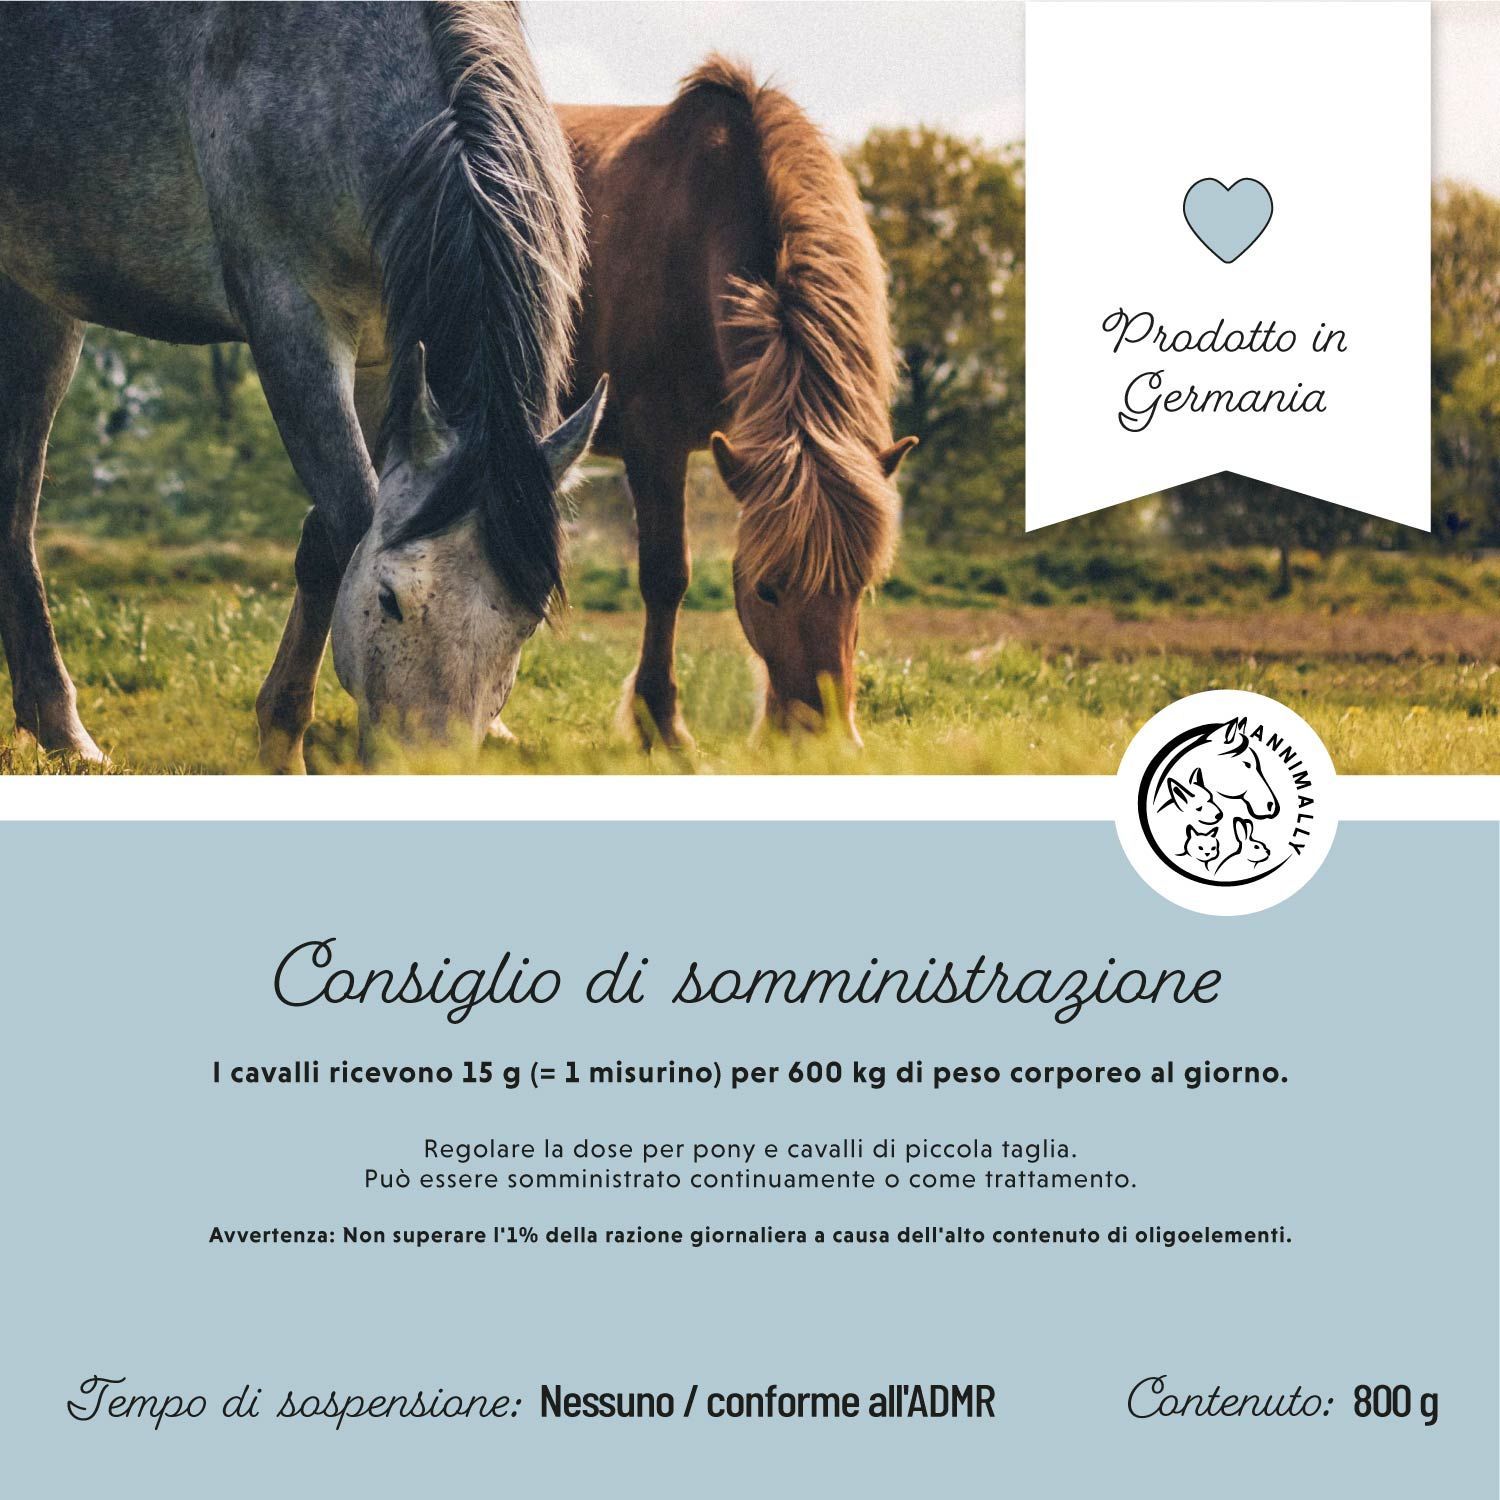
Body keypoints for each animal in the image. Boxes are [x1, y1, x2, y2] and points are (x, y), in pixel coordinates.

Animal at [0, 1, 603, 771]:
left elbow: (328, 536)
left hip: (35, 303)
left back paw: (54, 727)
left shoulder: (386, 361)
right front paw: (284, 742)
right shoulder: (293, 325)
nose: (427, 765)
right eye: (390, 599)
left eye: (525, 623)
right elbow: (347, 519)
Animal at [557, 57, 917, 746]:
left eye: (859, 588)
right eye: (767, 590)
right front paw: (662, 726)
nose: (822, 740)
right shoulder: (654, 441)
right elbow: (666, 577)